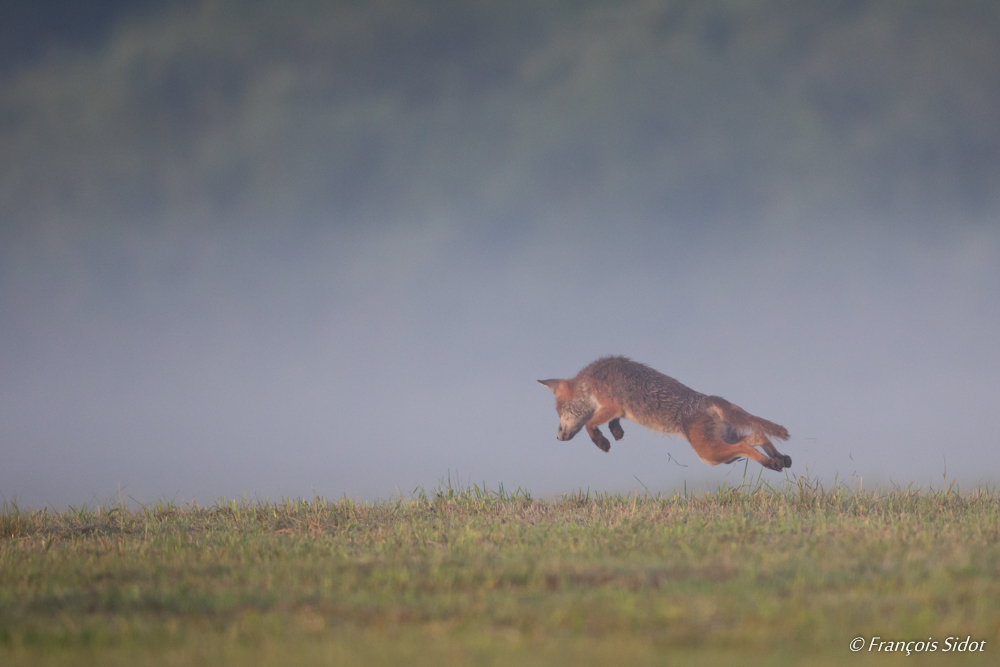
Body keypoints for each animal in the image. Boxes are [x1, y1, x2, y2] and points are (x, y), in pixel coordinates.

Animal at [536, 358, 792, 472]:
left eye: (558, 411)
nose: (558, 437)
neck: (590, 380)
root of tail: (707, 398)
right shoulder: (616, 410)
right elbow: (609, 423)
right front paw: (616, 433)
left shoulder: (611, 405)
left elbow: (590, 425)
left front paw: (602, 442)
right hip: (721, 445)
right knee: (757, 436)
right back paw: (779, 458)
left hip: (710, 455)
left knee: (747, 445)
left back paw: (771, 463)